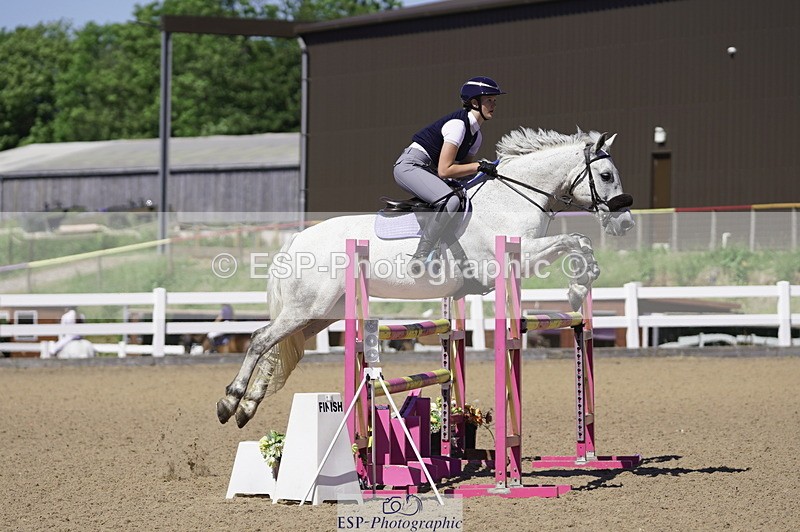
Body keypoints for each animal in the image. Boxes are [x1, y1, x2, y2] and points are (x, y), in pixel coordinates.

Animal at [217, 128, 634, 428]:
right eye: (606, 175)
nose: (625, 223)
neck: (511, 199)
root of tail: (298, 238)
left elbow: (578, 242)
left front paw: (581, 285)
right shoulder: (512, 258)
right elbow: (575, 239)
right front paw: (578, 288)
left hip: (322, 312)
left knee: (278, 346)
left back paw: (247, 406)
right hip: (309, 307)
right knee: (261, 339)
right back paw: (230, 400)